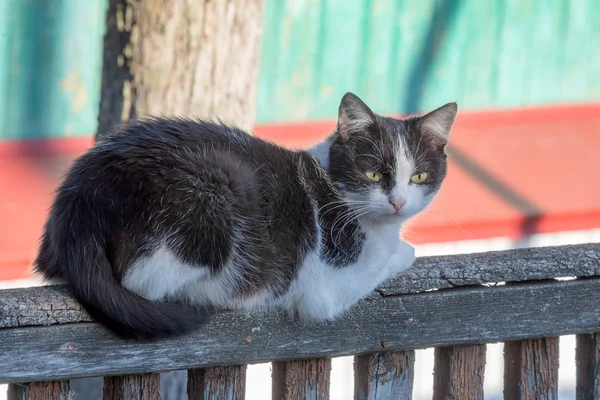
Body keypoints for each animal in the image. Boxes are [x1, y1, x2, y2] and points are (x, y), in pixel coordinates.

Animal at [34, 92, 454, 340]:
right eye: (373, 174)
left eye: (418, 176)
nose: (398, 202)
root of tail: (81, 195)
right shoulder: (325, 286)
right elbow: (385, 258)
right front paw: (405, 249)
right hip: (214, 189)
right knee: (144, 281)